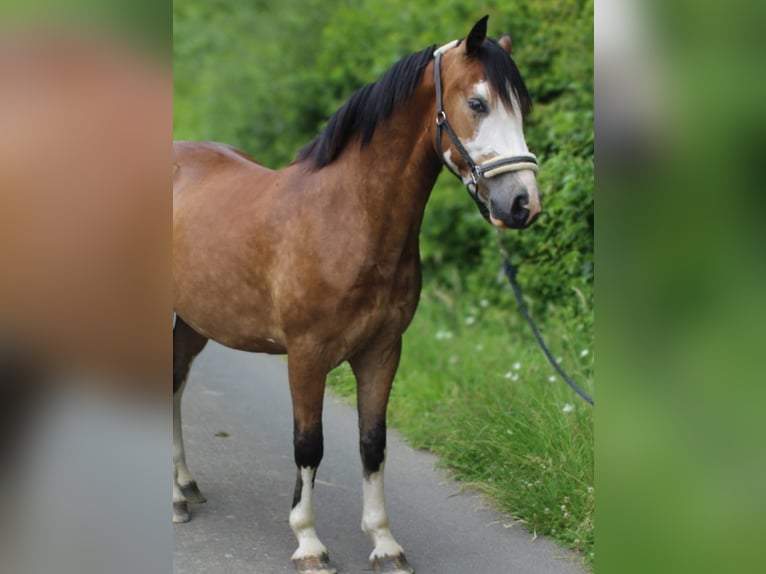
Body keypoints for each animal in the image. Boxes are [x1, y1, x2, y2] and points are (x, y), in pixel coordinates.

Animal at [176, 16, 540, 574]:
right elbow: (309, 446)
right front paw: (308, 542)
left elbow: (373, 445)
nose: (522, 203)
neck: (349, 217)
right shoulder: (306, 356)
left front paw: (384, 542)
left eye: (524, 107)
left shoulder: (382, 352)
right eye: (478, 103)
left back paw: (185, 487)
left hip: (192, 326)